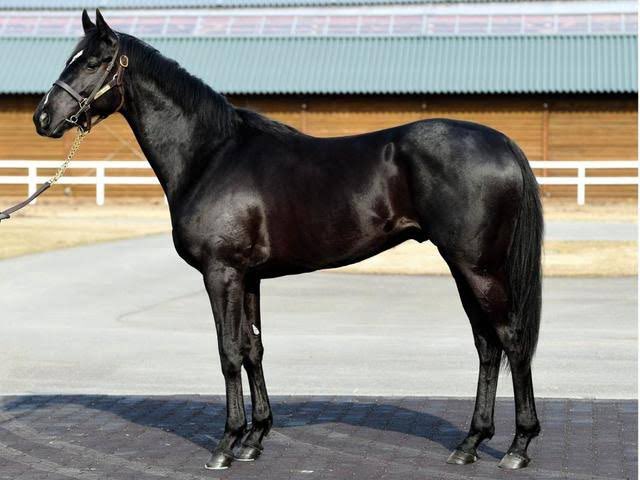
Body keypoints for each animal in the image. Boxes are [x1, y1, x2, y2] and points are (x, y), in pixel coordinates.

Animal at [34, 9, 543, 471]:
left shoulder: (222, 273)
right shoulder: (249, 277)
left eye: (94, 62)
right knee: (487, 345)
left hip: (478, 267)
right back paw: (470, 444)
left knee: (512, 339)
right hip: (464, 267)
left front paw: (226, 445)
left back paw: (518, 447)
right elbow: (253, 350)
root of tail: (501, 143)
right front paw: (255, 438)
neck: (211, 155)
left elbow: (228, 352)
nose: (44, 118)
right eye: (70, 58)